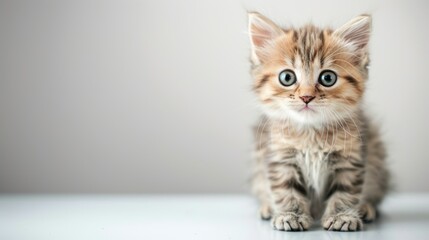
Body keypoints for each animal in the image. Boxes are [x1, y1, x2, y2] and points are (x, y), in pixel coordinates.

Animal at [247, 12, 388, 232]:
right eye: (287, 77)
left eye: (327, 78)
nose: (306, 97)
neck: (311, 133)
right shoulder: (281, 157)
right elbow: (286, 189)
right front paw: (291, 215)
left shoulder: (350, 158)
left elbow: (345, 191)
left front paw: (342, 216)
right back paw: (268, 208)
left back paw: (366, 208)